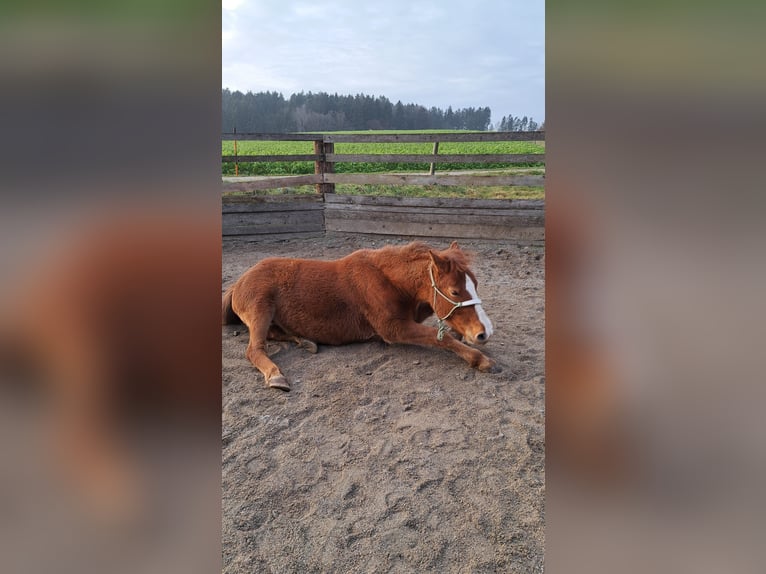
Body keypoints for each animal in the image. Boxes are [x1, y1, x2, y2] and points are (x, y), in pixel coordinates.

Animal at [222, 238, 498, 392]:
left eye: (475, 284)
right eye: (454, 291)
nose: (484, 332)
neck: (389, 280)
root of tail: (238, 282)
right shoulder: (392, 329)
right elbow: (438, 336)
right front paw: (479, 359)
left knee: (276, 333)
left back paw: (305, 341)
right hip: (261, 308)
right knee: (255, 348)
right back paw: (276, 376)